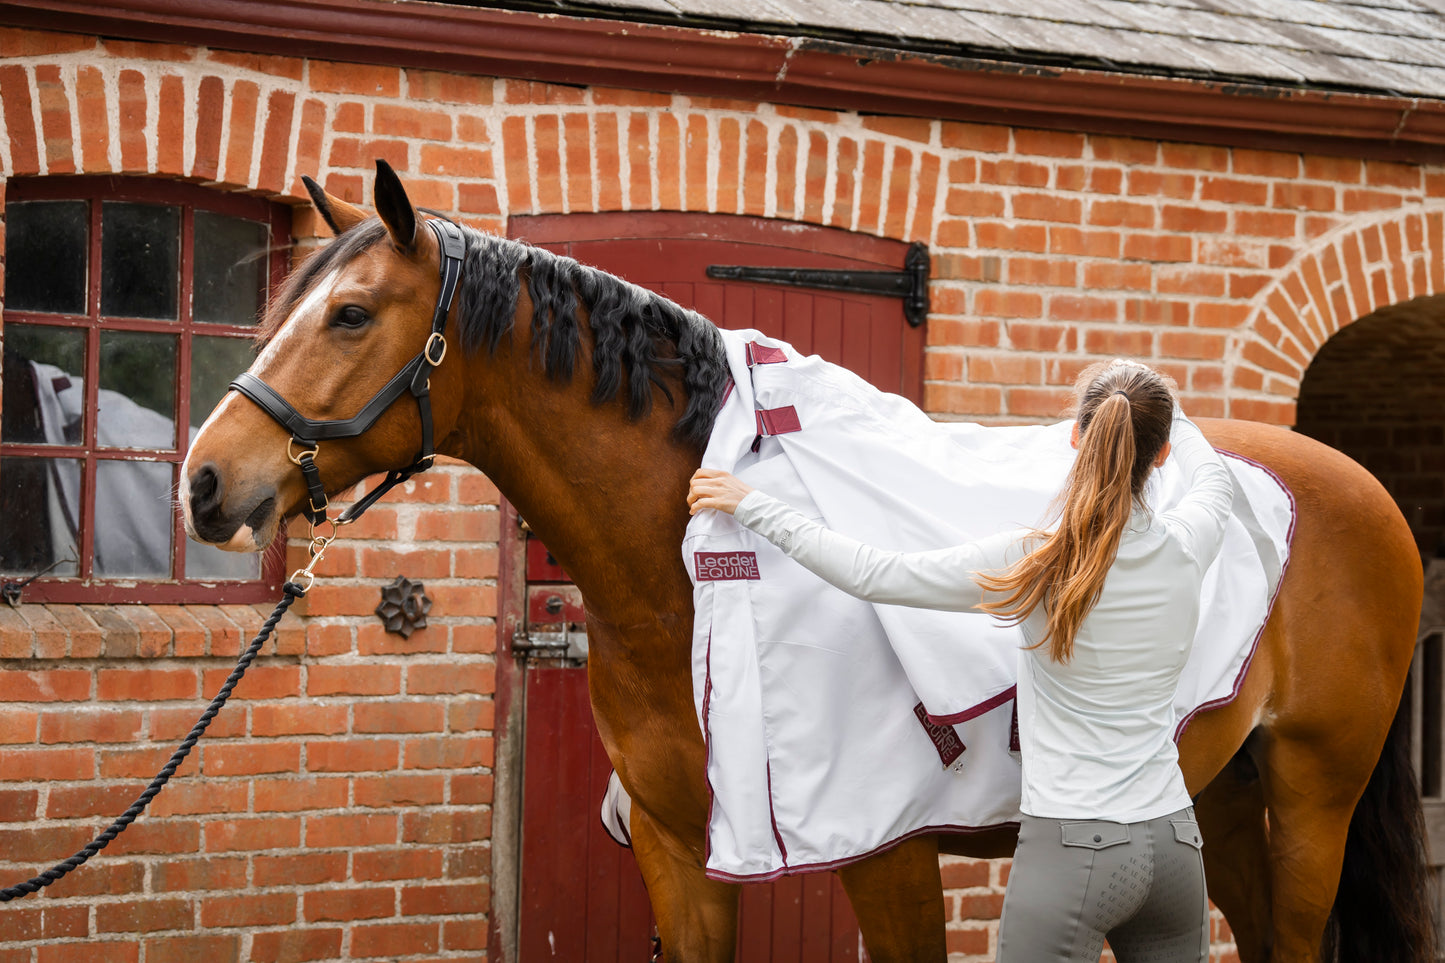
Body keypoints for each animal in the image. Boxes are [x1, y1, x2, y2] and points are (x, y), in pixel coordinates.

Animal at [181, 160, 1435, 963]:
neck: (685, 585)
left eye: (348, 313)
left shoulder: (888, 857)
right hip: (1215, 789)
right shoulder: (682, 854)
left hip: (1311, 791)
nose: (205, 479)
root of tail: (1350, 484)